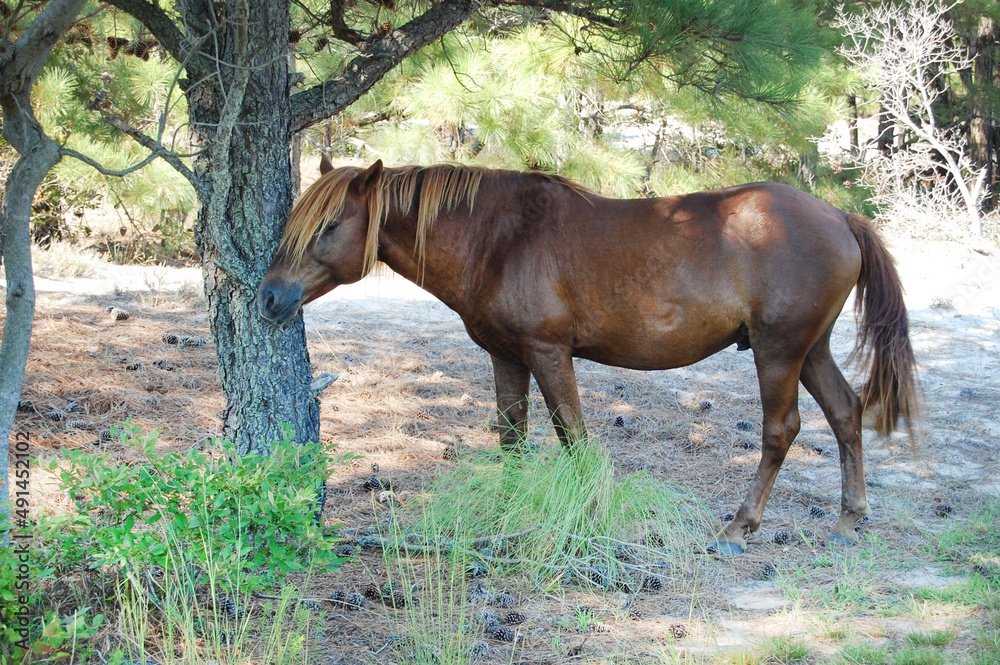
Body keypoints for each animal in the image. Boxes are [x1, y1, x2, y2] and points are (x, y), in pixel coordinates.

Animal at [258, 157, 919, 554]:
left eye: (329, 225)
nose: (269, 298)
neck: (497, 237)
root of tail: (840, 216)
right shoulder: (507, 357)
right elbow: (512, 434)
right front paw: (509, 508)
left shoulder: (548, 353)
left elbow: (571, 437)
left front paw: (588, 513)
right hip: (810, 350)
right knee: (846, 413)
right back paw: (849, 517)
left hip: (779, 351)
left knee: (781, 430)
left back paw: (740, 526)